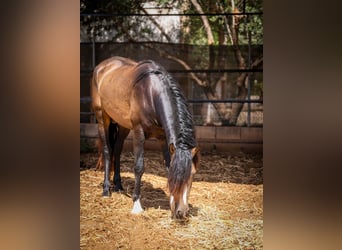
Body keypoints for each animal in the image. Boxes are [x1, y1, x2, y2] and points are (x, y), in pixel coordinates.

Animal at [91, 56, 200, 219]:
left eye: (192, 174)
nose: (181, 212)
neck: (151, 93)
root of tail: (102, 66)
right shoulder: (139, 132)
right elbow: (138, 167)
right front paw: (136, 205)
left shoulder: (163, 138)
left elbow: (168, 166)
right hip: (102, 118)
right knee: (107, 151)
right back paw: (106, 190)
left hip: (123, 125)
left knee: (117, 150)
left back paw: (118, 186)